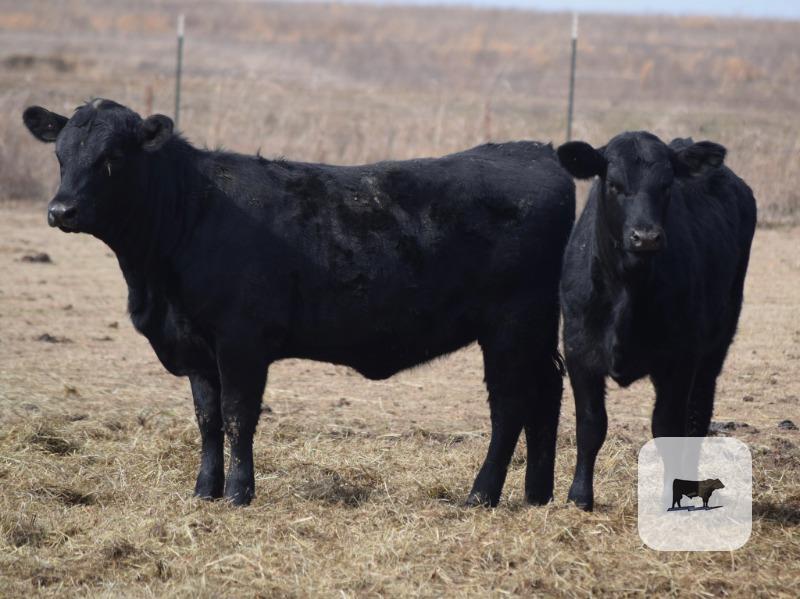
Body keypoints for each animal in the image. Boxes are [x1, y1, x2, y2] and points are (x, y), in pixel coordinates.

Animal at [23, 99, 575, 507]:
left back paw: (481, 495)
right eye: (61, 156)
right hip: (533, 329)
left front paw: (239, 494)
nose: (61, 210)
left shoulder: (241, 340)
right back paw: (537, 495)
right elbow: (207, 419)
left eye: (112, 158)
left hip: (511, 326)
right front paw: (204, 491)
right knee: (546, 390)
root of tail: (538, 151)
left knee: (510, 404)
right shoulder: (197, 348)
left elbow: (238, 415)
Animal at [556, 131, 756, 511]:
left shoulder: (679, 358)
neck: (627, 290)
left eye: (666, 185)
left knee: (697, 416)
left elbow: (666, 427)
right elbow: (590, 424)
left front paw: (671, 495)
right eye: (614, 184)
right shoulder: (578, 351)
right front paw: (580, 496)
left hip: (714, 347)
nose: (646, 236)